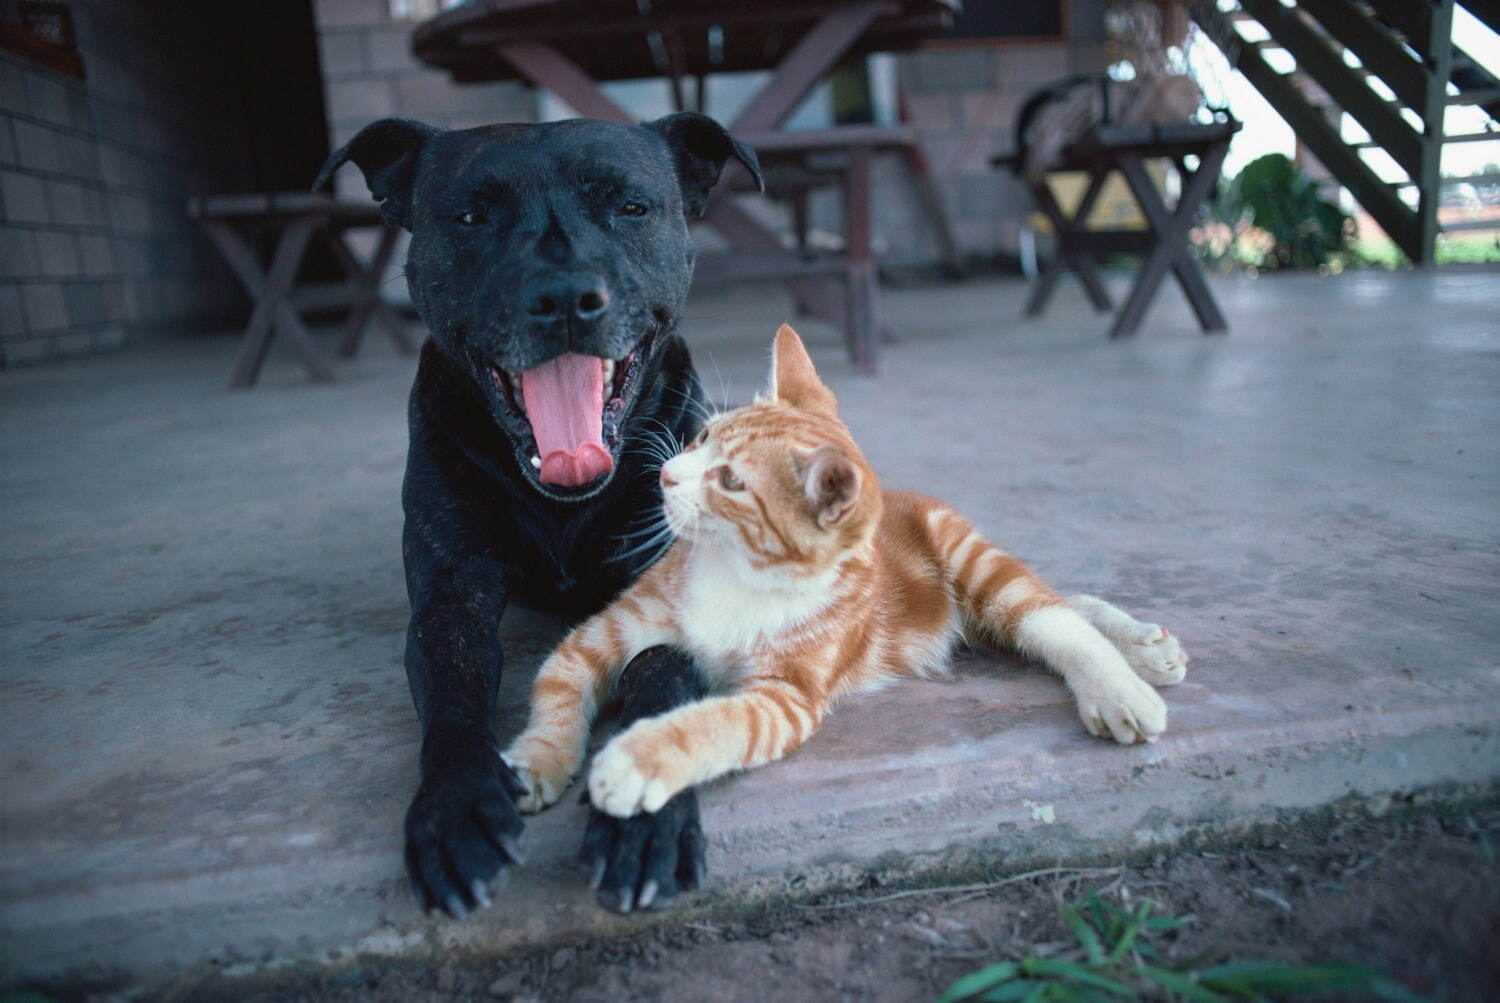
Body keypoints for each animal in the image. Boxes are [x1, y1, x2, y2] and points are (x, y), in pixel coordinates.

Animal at [315, 113, 762, 911]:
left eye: (631, 207)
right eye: (470, 217)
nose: (563, 296)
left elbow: (661, 678)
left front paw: (645, 815)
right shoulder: (451, 594)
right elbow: (451, 694)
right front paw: (455, 805)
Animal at [504, 325, 1182, 815]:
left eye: (732, 482)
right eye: (700, 437)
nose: (667, 475)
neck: (741, 572)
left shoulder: (786, 697)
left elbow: (717, 722)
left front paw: (639, 759)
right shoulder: (605, 631)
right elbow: (559, 680)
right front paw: (539, 759)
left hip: (970, 559)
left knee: (1047, 615)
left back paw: (1121, 681)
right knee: (1055, 605)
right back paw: (1147, 647)